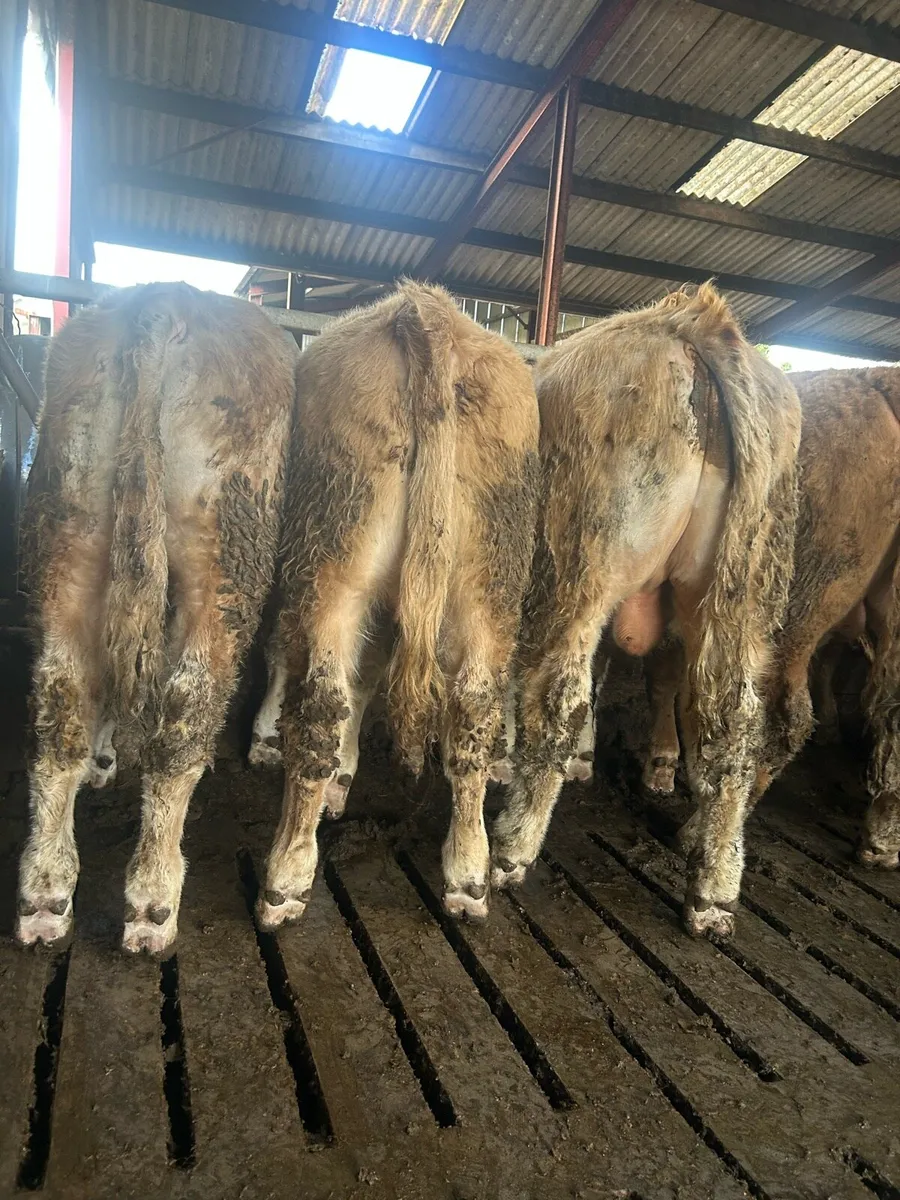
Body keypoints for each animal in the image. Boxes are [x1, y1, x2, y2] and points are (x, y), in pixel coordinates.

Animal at [16, 283, 296, 955]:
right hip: (223, 557)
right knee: (185, 716)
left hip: (71, 532)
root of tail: (165, 299)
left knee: (60, 706)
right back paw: (152, 899)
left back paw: (45, 894)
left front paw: (104, 757)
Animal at [253, 280, 539, 930]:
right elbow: (369, 676)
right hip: (490, 584)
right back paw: (469, 872)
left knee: (320, 706)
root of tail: (426, 310)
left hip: (331, 562)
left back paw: (285, 877)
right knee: (472, 715)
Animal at [490, 284, 801, 938]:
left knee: (559, 692)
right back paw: (712, 890)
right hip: (740, 597)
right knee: (735, 721)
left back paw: (512, 848)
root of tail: (691, 323)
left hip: (580, 564)